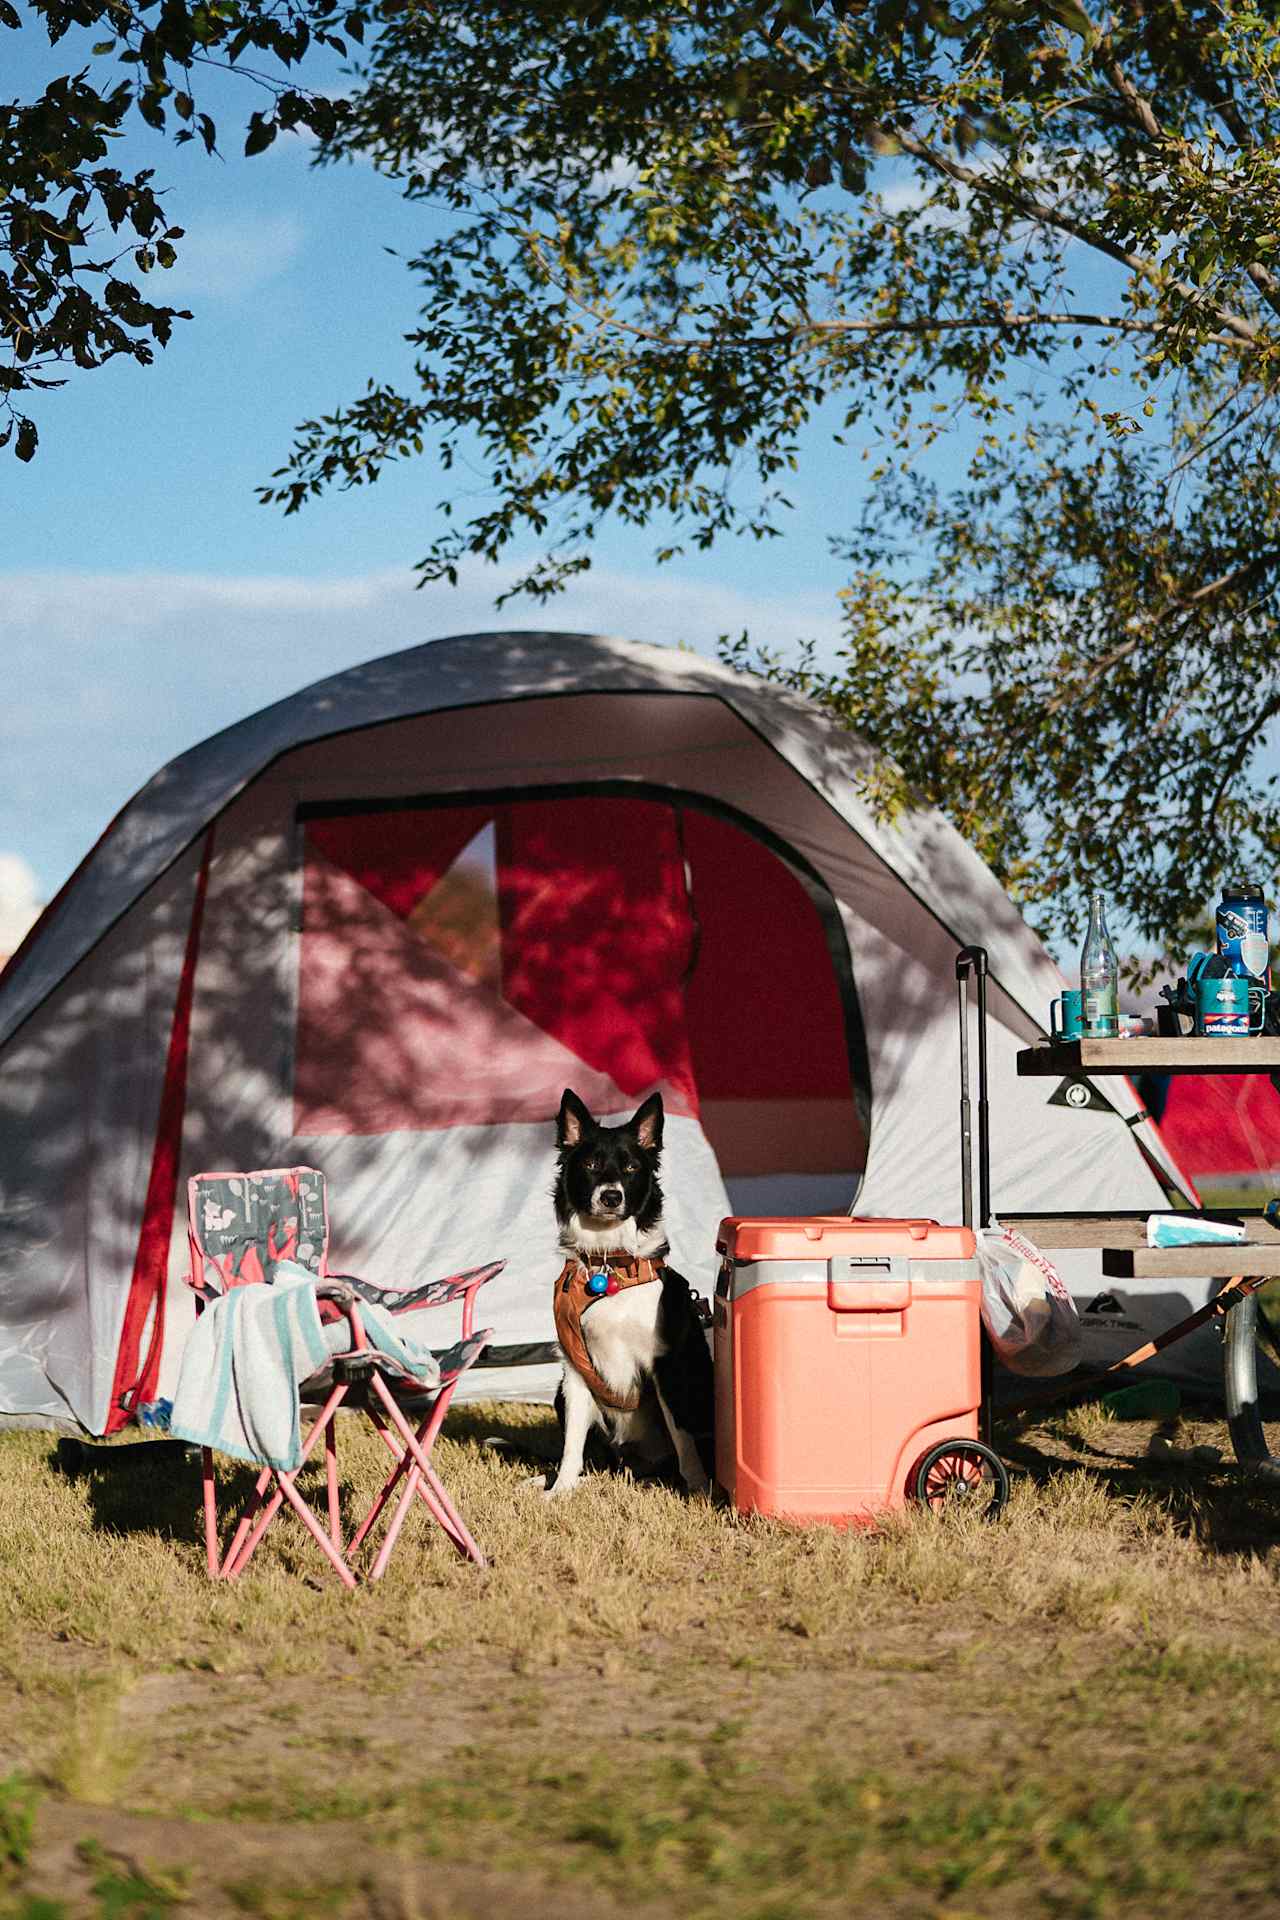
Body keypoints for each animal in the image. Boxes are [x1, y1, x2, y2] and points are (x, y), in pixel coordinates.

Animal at [545, 1090, 717, 1489]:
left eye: (631, 1168)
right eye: (591, 1164)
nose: (611, 1197)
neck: (611, 1264)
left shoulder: (667, 1364)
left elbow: (683, 1436)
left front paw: (699, 1489)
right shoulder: (575, 1367)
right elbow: (572, 1444)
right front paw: (560, 1491)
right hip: (559, 1392)